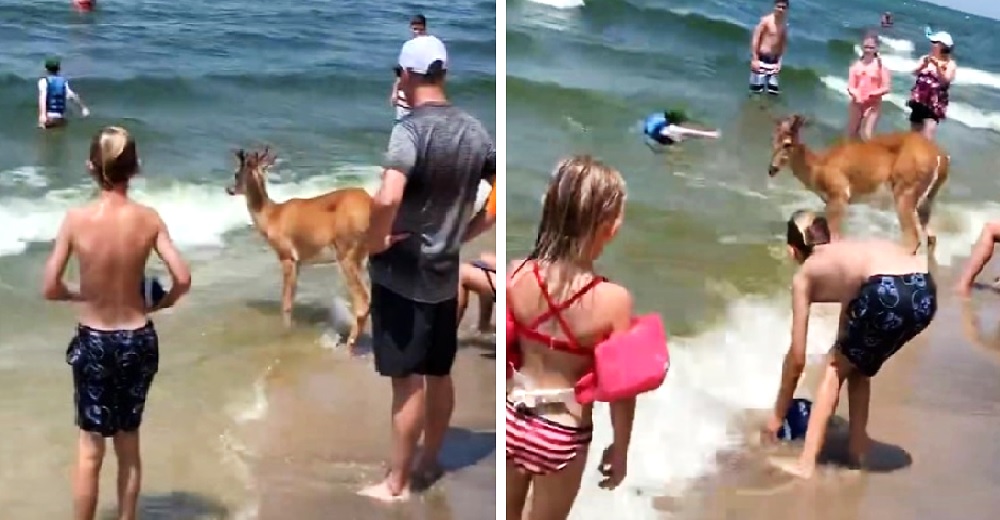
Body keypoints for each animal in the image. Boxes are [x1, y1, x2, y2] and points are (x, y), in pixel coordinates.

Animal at [227, 146, 376, 350]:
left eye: (236, 173)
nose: (229, 189)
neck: (272, 216)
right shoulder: (299, 262)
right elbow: (292, 298)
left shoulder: (286, 255)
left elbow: (286, 301)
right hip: (363, 257)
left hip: (347, 252)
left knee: (362, 300)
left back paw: (349, 343)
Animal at [768, 115, 948, 256]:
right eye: (773, 141)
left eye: (787, 143)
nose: (771, 169)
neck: (818, 167)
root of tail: (940, 157)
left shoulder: (839, 194)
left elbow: (834, 238)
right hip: (926, 199)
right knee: (931, 238)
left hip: (905, 189)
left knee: (913, 239)